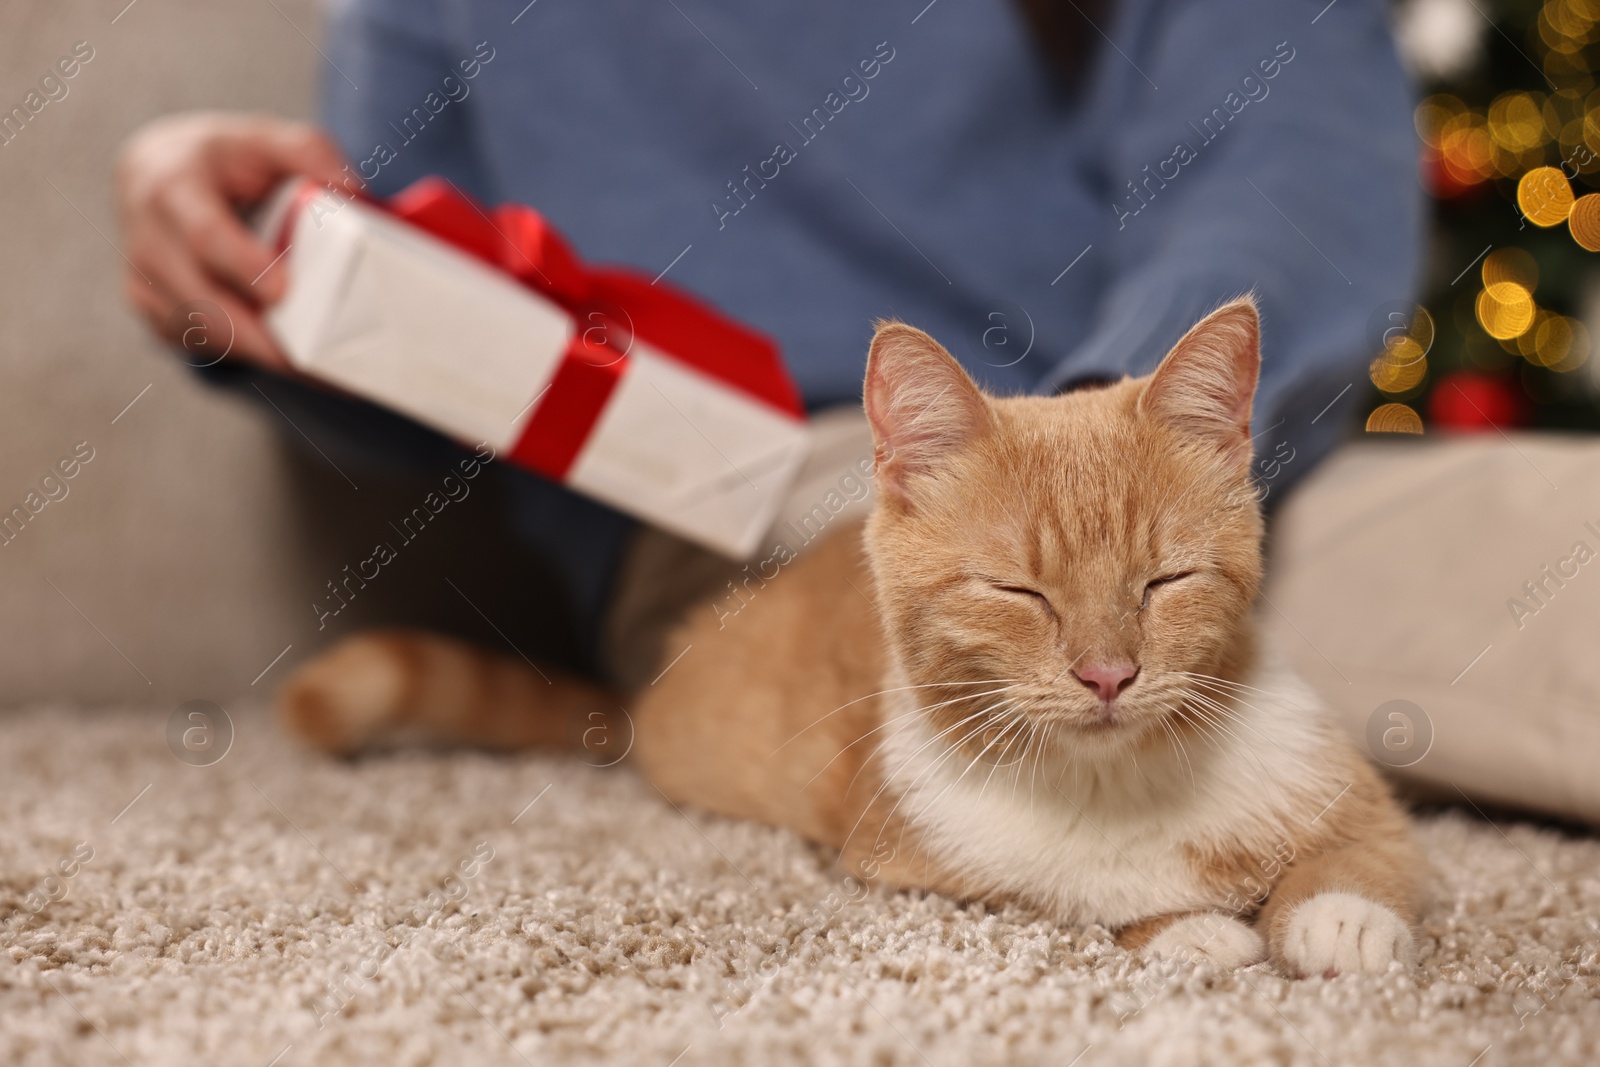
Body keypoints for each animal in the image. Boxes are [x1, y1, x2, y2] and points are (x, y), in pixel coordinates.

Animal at [281, 299, 1420, 979]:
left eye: (1165, 581)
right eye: (1017, 590)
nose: (1108, 673)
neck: (1115, 784)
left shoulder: (1335, 777)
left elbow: (1371, 844)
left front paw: (1339, 913)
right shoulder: (919, 859)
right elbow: (1065, 897)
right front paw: (1187, 925)